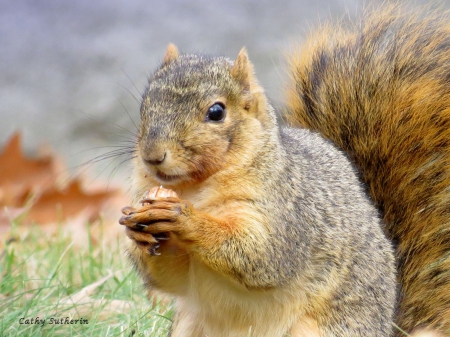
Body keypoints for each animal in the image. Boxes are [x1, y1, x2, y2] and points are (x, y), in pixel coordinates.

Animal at [118, 5, 450, 336]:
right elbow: (170, 278)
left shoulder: (287, 213)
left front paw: (182, 216)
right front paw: (138, 231)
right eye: (145, 104)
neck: (194, 188)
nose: (152, 155)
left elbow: (260, 254)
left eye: (216, 112)